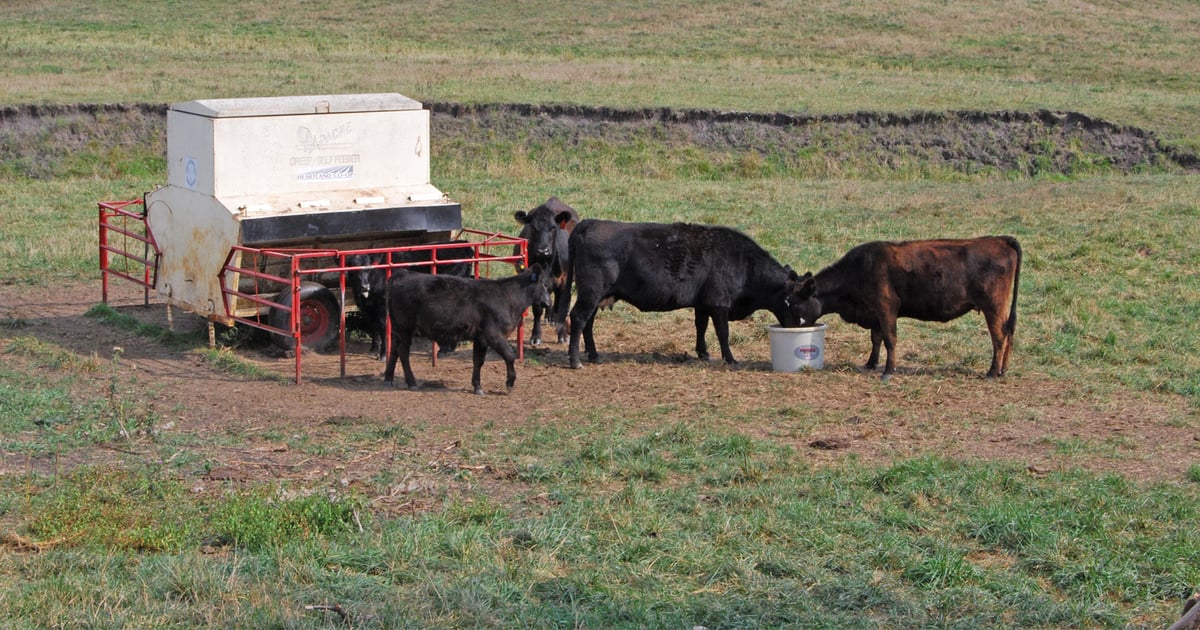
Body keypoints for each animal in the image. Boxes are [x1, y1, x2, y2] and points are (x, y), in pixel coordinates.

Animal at [347, 242, 475, 359]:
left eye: (368, 269)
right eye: (353, 270)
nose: (365, 287)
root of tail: (463, 244)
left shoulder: (382, 306)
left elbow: (383, 327)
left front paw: (383, 354)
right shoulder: (368, 308)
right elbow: (374, 326)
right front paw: (374, 348)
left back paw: (444, 349)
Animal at [383, 263, 554, 395]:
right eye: (545, 285)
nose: (549, 303)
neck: (508, 297)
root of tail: (403, 274)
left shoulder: (480, 338)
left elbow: (478, 361)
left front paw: (477, 386)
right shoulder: (494, 335)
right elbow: (509, 356)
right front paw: (510, 383)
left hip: (397, 329)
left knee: (394, 350)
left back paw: (388, 379)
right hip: (405, 328)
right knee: (403, 353)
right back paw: (411, 382)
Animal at [513, 196, 580, 345]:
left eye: (553, 228)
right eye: (533, 227)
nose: (543, 250)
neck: (546, 264)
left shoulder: (564, 281)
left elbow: (561, 307)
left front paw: (562, 335)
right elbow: (537, 309)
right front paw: (536, 336)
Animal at [559, 219, 816, 369]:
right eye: (799, 302)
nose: (800, 328)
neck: (744, 263)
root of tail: (589, 224)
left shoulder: (702, 303)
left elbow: (700, 326)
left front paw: (703, 353)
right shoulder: (719, 304)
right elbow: (723, 333)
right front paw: (730, 358)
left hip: (595, 295)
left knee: (588, 323)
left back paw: (594, 355)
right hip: (591, 292)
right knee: (579, 318)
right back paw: (575, 360)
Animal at [792, 236, 1022, 380]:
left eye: (792, 303)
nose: (788, 326)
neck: (859, 270)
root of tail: (999, 239)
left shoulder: (886, 309)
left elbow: (890, 340)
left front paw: (888, 371)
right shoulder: (875, 314)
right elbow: (876, 339)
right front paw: (870, 363)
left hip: (993, 308)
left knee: (999, 337)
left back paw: (991, 373)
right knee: (1009, 334)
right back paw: (1002, 370)